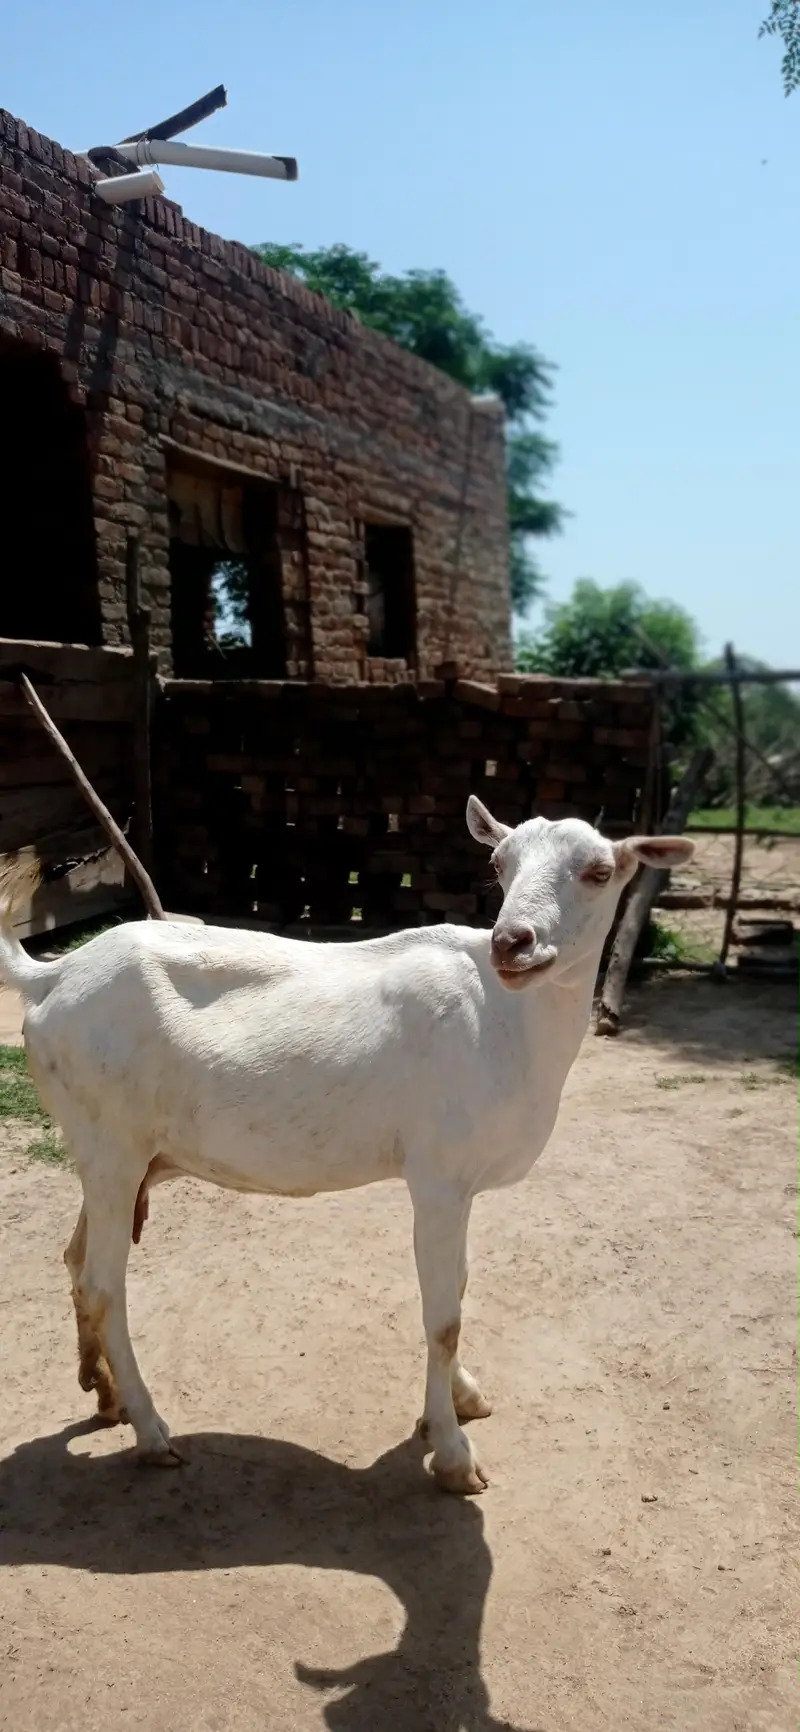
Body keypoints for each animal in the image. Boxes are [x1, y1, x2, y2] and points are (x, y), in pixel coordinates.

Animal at [0, 799, 693, 1493]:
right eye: (500, 864)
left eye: (600, 871)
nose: (511, 943)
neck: (509, 1022)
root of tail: (53, 974)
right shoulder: (437, 1180)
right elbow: (443, 1317)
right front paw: (452, 1453)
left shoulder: (461, 1187)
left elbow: (460, 1286)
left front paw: (463, 1398)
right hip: (112, 1146)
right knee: (102, 1284)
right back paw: (150, 1431)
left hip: (119, 1158)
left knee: (75, 1259)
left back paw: (105, 1393)